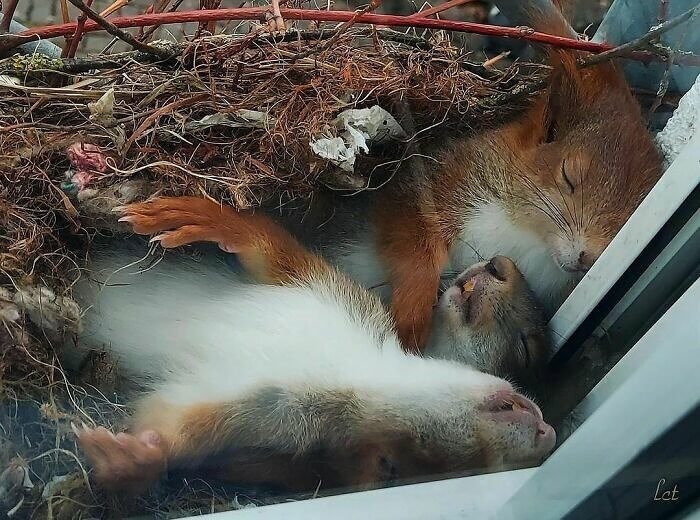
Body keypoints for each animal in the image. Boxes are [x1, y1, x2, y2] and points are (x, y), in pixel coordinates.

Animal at [73, 196, 555, 495]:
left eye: (394, 467)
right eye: (524, 352)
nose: (547, 434)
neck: (353, 369)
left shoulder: (260, 416)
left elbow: (174, 429)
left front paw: (133, 459)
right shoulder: (332, 292)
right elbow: (269, 249)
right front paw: (204, 217)